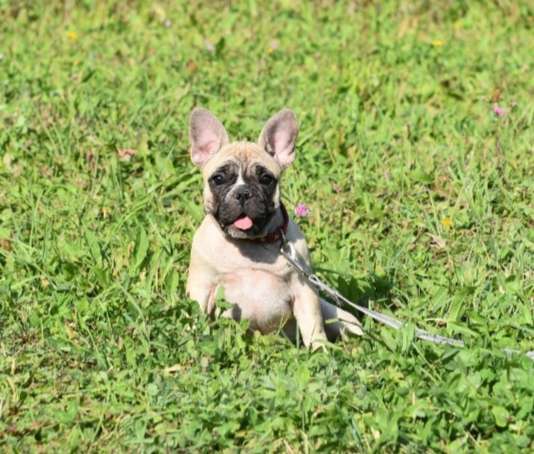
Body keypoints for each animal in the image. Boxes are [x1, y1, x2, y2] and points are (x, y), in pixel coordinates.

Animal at [186, 108, 362, 350]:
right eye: (219, 179)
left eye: (266, 179)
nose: (243, 192)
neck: (249, 246)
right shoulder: (201, 287)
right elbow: (195, 316)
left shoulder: (305, 290)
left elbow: (313, 325)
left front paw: (320, 351)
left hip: (340, 316)